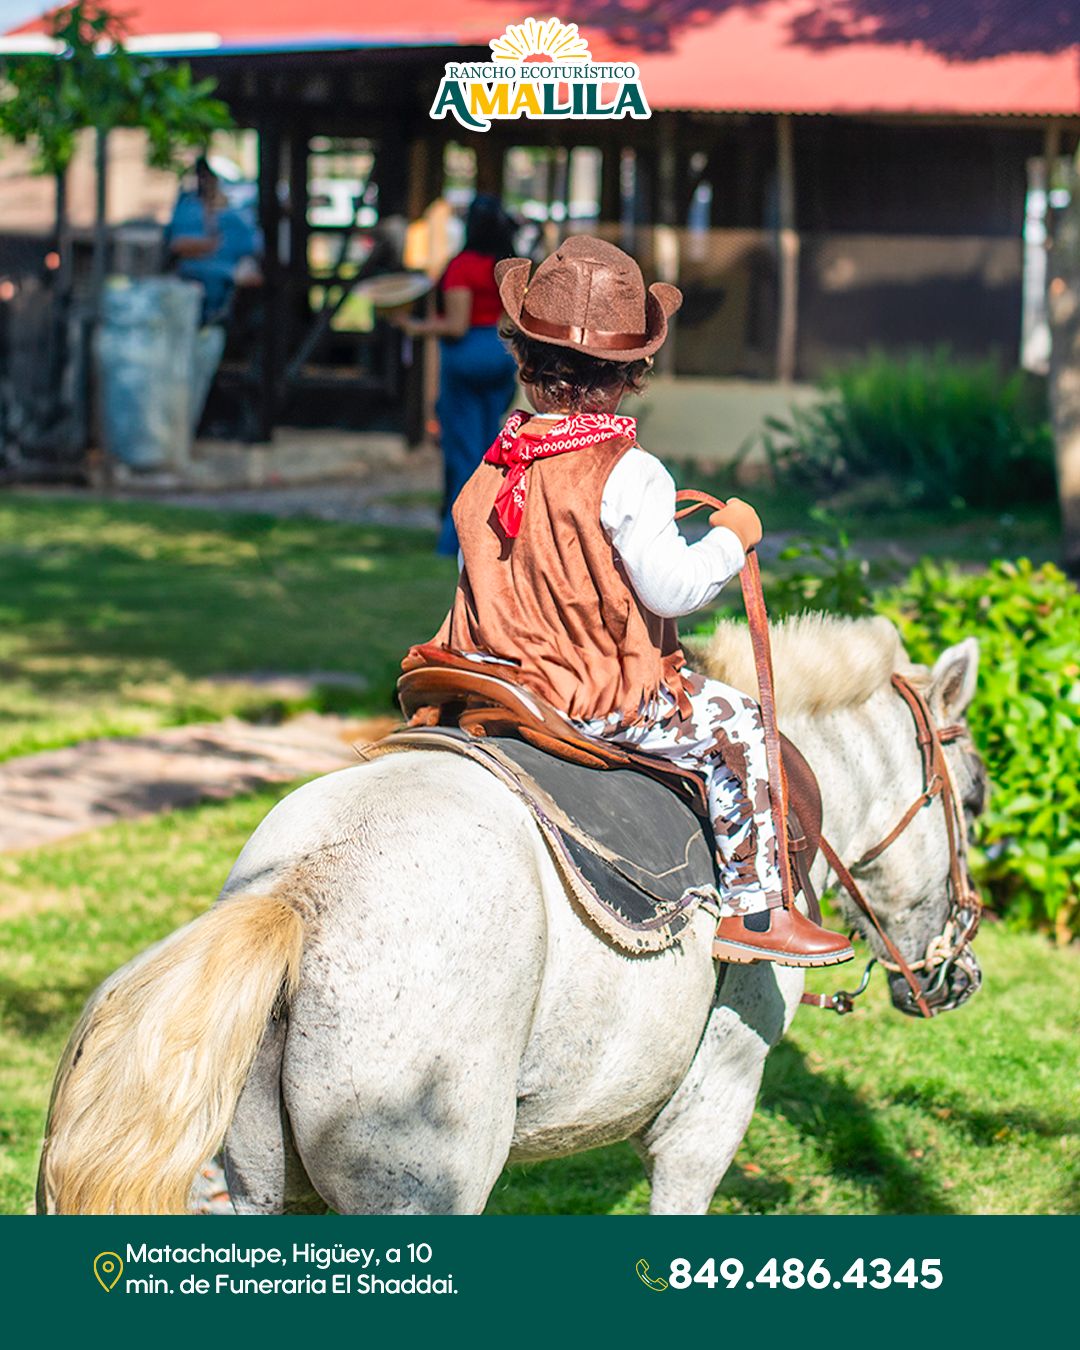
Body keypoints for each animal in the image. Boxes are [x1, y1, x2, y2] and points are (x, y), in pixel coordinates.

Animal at [37, 618, 982, 1220]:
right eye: (973, 798)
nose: (960, 970)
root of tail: (297, 893)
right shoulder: (712, 1105)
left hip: (258, 1188)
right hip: (422, 1189)